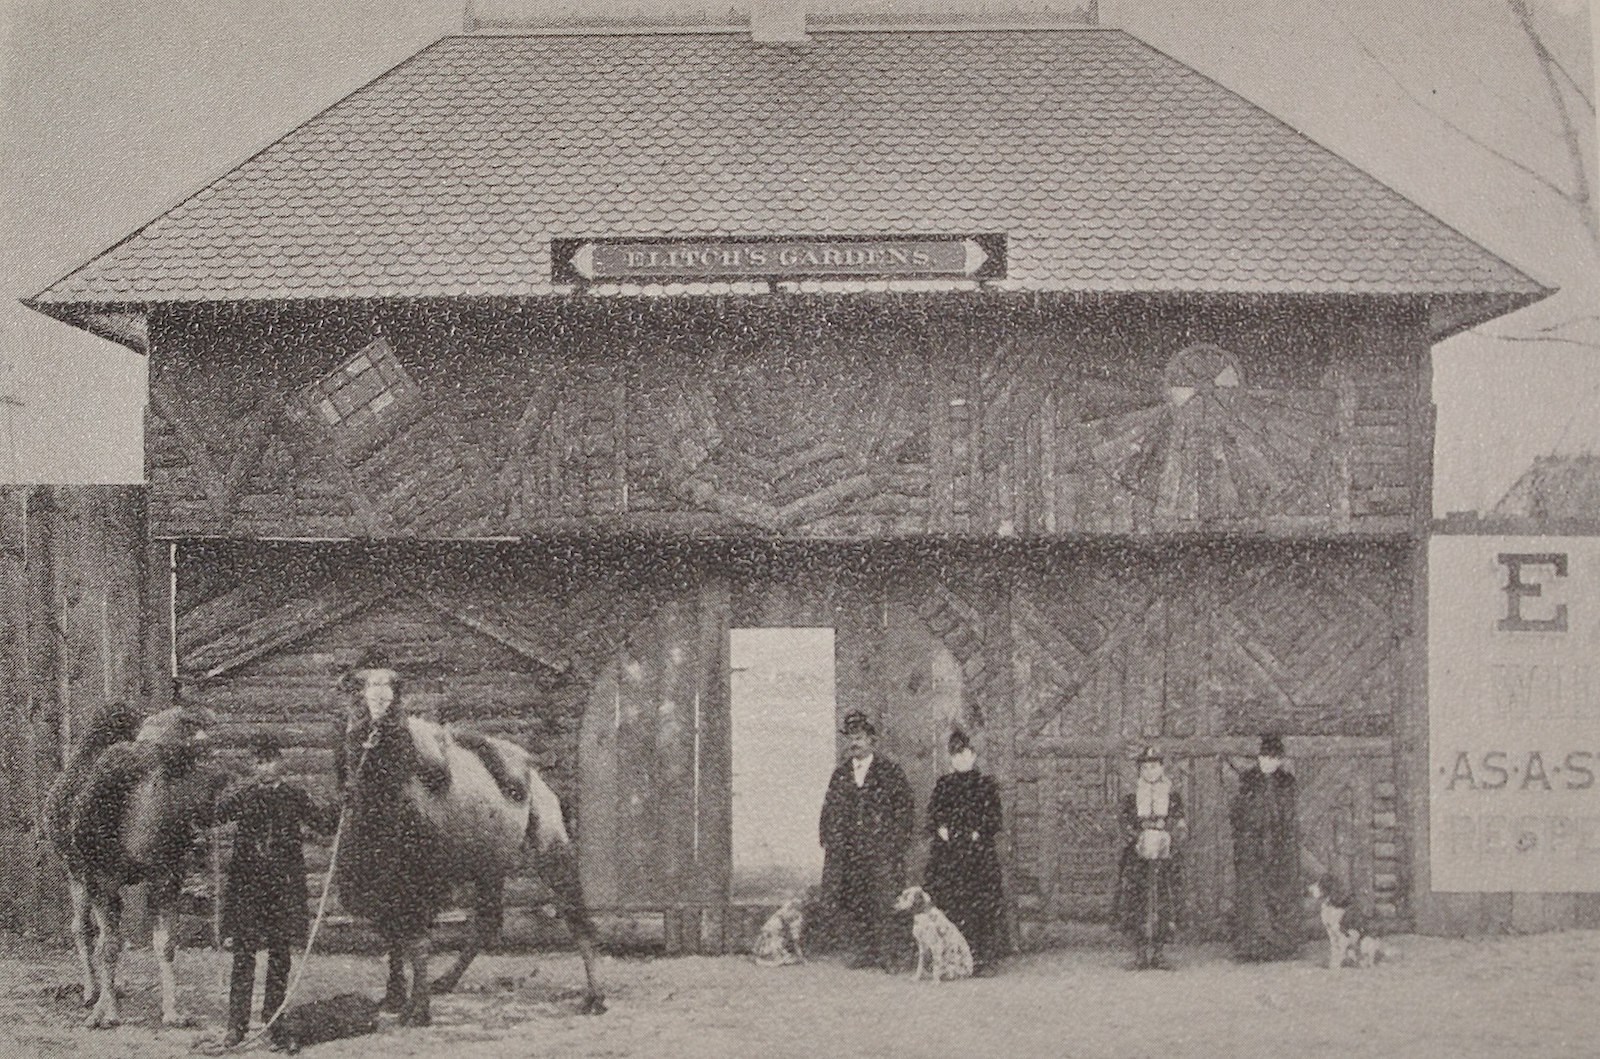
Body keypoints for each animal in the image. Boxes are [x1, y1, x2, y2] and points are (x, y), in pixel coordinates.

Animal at [45, 703, 224, 1030]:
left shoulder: (165, 876)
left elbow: (165, 944)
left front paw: (172, 1013)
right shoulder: (101, 878)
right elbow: (109, 945)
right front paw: (106, 1014)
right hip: (74, 871)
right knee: (82, 928)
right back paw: (91, 993)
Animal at [337, 665, 604, 1030]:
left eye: (397, 687)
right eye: (357, 687)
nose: (381, 710)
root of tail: (534, 773)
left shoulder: (422, 879)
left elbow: (418, 942)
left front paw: (417, 1011)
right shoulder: (383, 883)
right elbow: (393, 937)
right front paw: (394, 998)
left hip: (549, 837)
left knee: (573, 911)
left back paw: (595, 998)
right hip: (489, 860)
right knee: (488, 920)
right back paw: (445, 982)